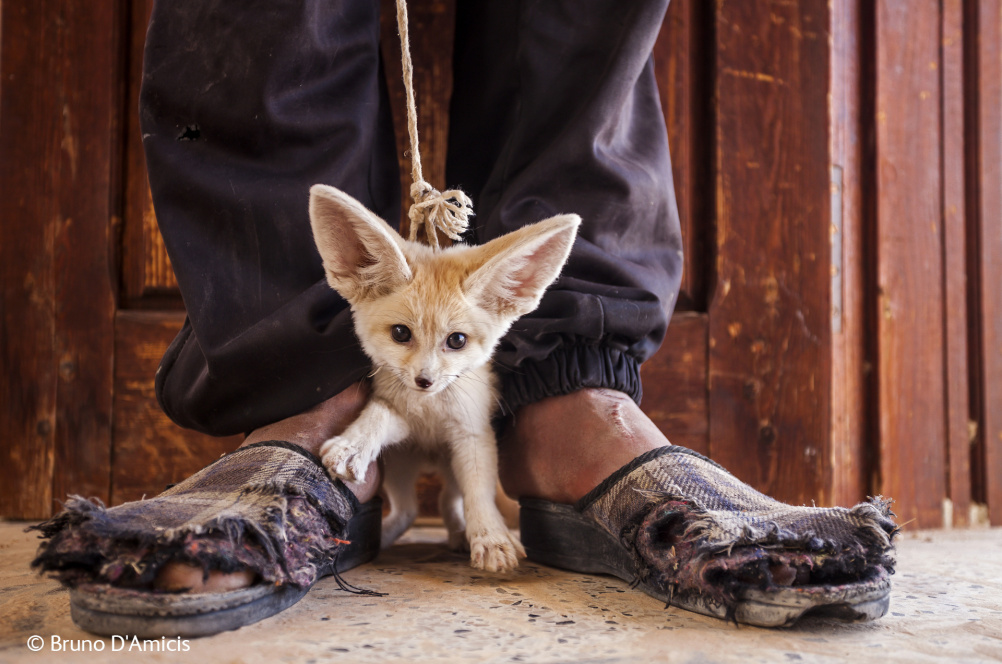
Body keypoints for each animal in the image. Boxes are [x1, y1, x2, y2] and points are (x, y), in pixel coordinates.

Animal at [308, 184, 585, 572]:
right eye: (400, 334)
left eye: (456, 341)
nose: (424, 381)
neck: (430, 413)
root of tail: (431, 459)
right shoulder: (401, 418)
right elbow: (379, 414)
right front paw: (355, 444)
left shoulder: (472, 436)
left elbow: (478, 495)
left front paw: (491, 537)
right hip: (400, 467)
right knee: (410, 511)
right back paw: (387, 536)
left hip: (450, 468)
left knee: (447, 502)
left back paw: (459, 535)